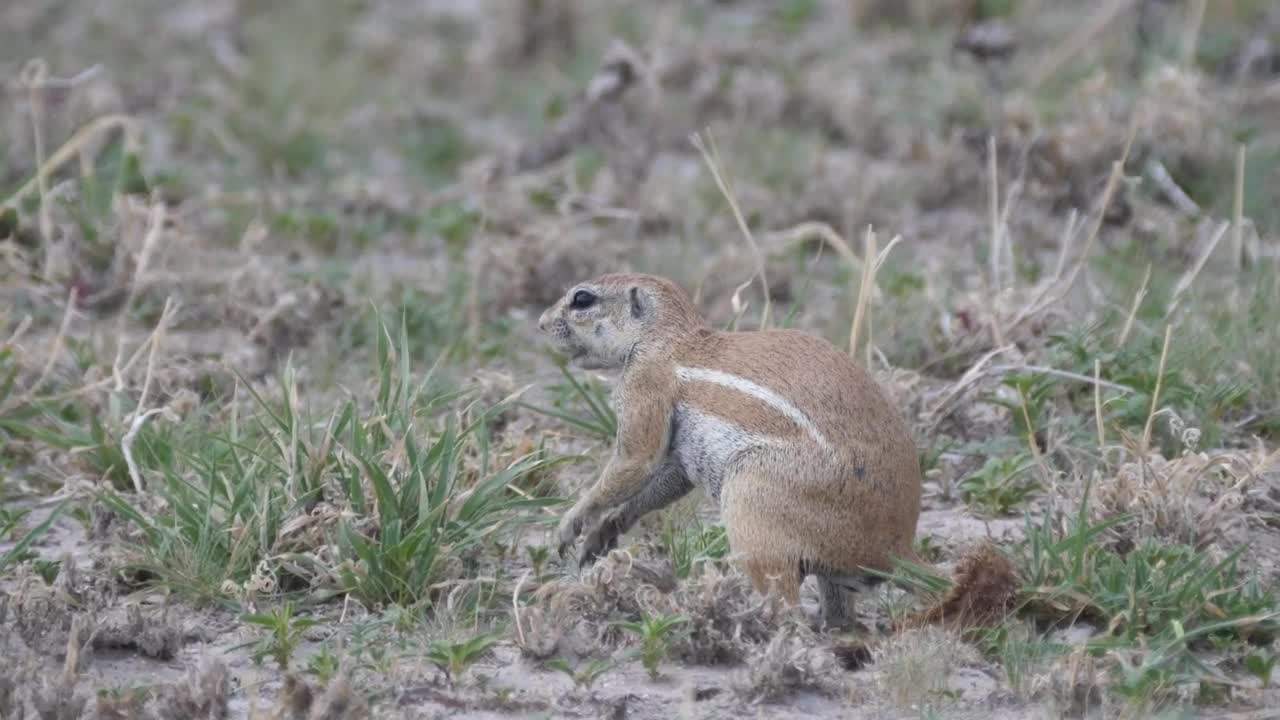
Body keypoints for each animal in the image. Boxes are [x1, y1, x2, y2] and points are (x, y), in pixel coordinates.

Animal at [538, 272, 923, 629]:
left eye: (582, 299)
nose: (540, 324)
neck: (667, 338)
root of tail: (897, 552)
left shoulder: (644, 386)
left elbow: (634, 462)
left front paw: (570, 523)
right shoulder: (680, 458)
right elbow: (666, 482)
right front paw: (605, 530)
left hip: (750, 495)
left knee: (786, 607)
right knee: (840, 619)